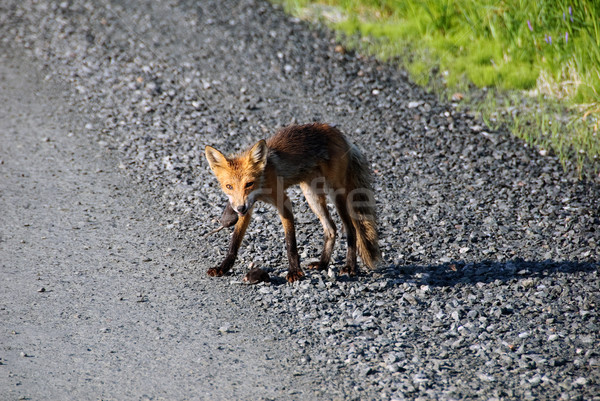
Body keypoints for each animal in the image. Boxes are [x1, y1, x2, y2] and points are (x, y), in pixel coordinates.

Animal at [205, 122, 380, 282]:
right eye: (229, 186)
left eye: (249, 184)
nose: (240, 208)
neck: (262, 182)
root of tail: (340, 134)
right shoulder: (248, 207)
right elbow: (234, 242)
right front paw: (223, 267)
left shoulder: (283, 202)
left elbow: (291, 242)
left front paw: (295, 271)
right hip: (311, 195)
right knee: (331, 228)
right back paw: (323, 263)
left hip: (335, 193)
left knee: (351, 229)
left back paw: (350, 266)